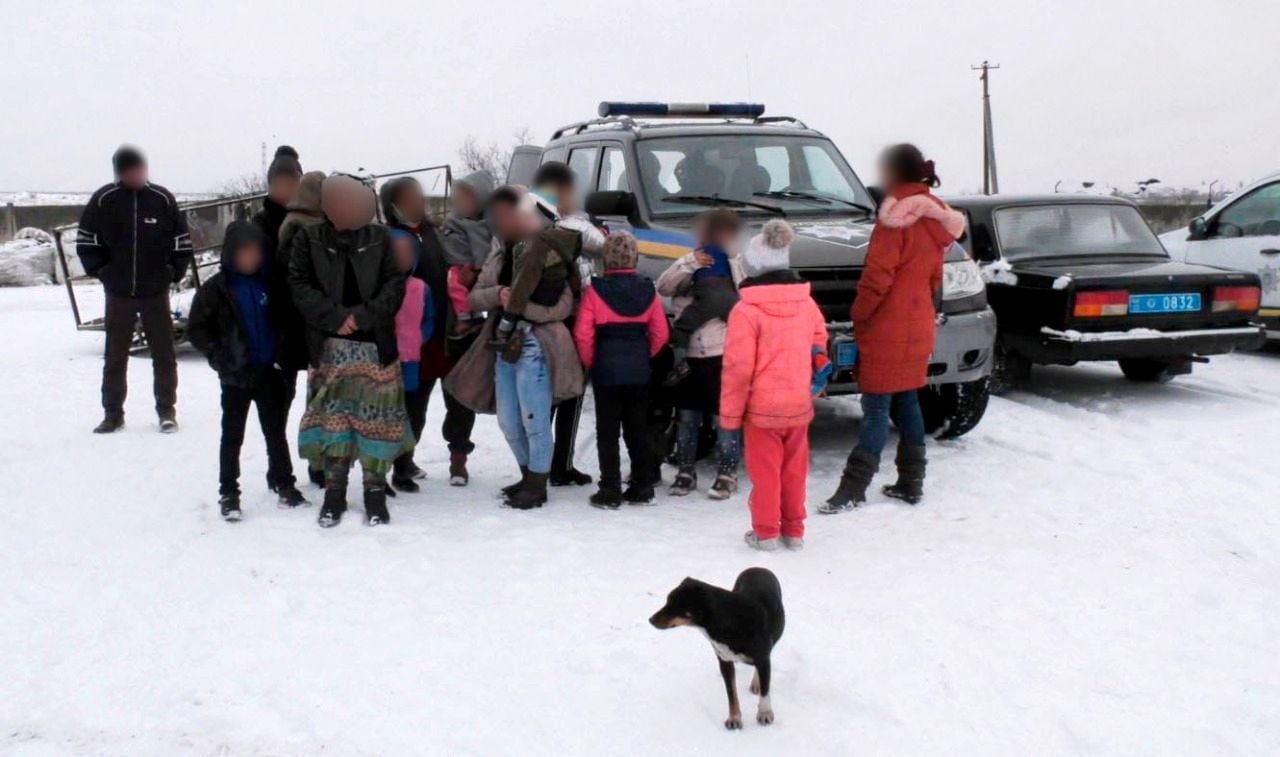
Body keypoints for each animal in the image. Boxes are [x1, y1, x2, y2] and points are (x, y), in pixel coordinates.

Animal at [645, 568, 783, 727]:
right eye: (667, 600)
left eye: (676, 605)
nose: (650, 620)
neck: (729, 621)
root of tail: (758, 568)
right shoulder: (724, 660)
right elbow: (731, 693)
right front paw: (734, 719)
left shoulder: (762, 657)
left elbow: (765, 690)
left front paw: (765, 713)